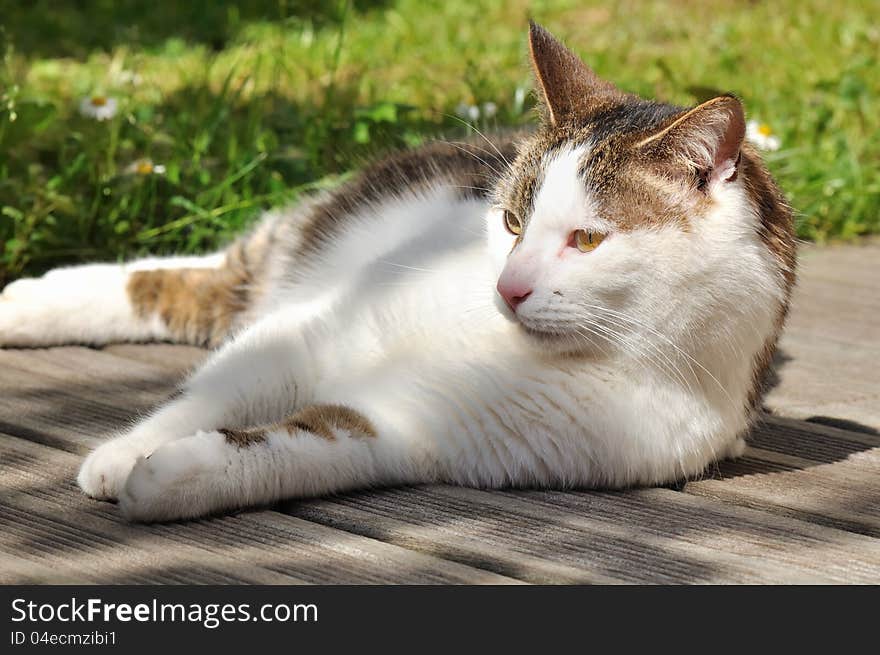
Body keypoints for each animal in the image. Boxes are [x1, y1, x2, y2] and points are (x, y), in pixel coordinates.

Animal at [0, 23, 796, 524]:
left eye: (588, 240)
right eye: (512, 222)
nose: (507, 287)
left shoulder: (416, 428)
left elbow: (302, 445)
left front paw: (174, 475)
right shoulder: (316, 327)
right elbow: (213, 392)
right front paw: (124, 452)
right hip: (310, 244)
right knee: (195, 282)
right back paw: (24, 303)